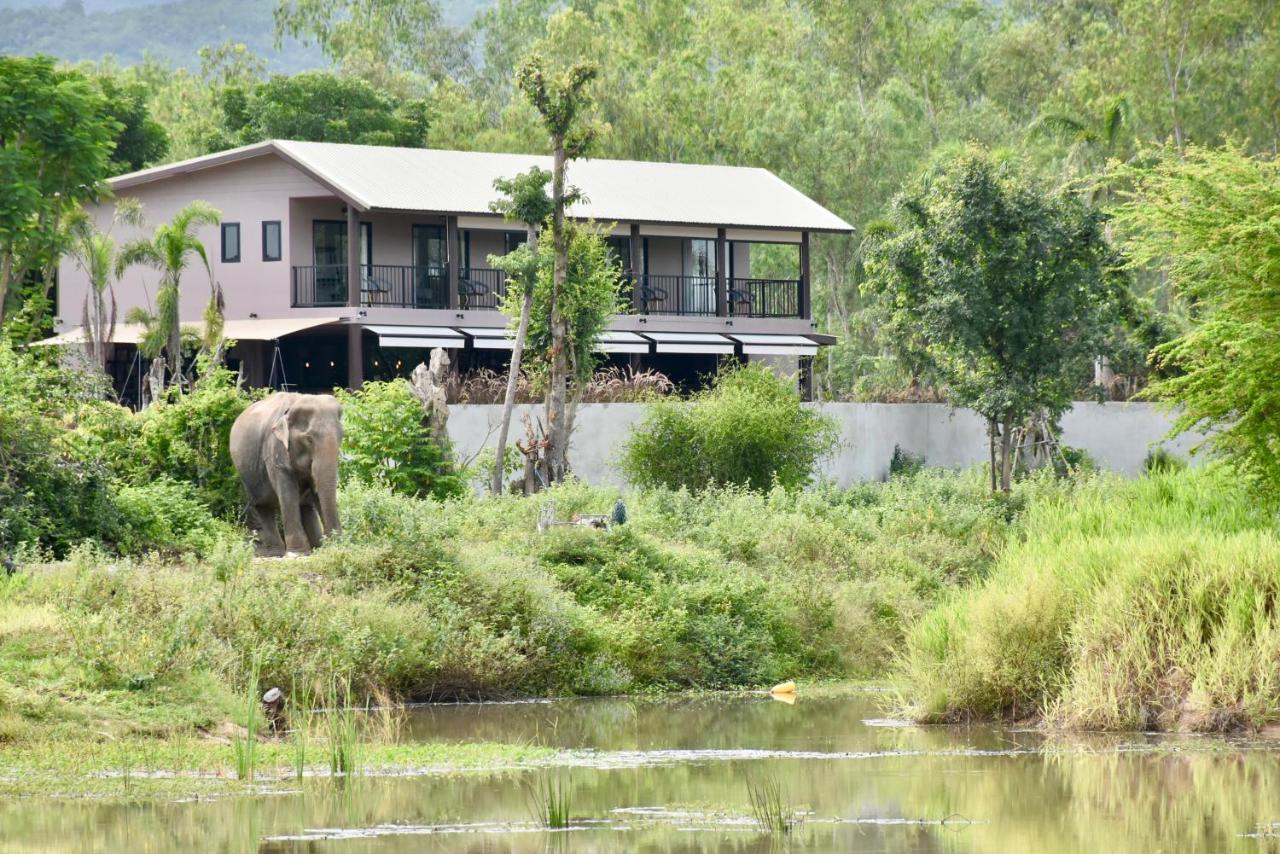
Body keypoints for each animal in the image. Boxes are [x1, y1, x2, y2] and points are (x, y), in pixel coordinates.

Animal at [227, 391, 343, 558]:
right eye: (309, 439)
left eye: (341, 437)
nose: (335, 541)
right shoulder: (275, 449)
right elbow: (288, 494)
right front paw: (297, 553)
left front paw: (332, 547)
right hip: (246, 474)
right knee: (263, 506)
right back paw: (275, 553)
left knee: (305, 505)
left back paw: (315, 547)